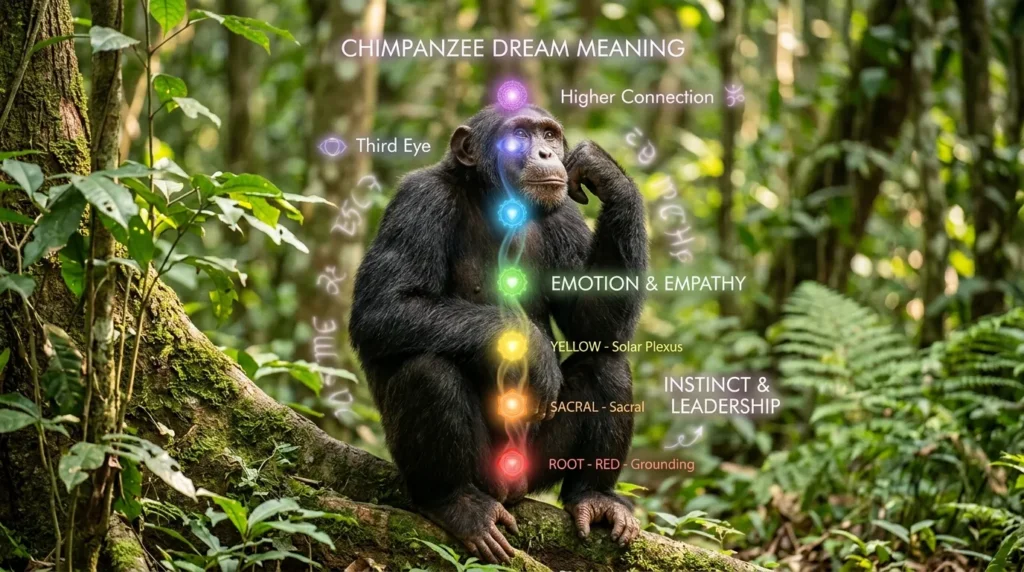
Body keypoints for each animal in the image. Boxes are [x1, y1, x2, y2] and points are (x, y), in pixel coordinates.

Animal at [349, 104, 648, 563]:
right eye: (520, 135)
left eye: (549, 134)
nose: (546, 153)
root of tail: (511, 486)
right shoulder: (419, 201)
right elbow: (384, 306)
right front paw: (534, 352)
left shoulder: (563, 214)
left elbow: (595, 325)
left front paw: (605, 172)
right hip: (484, 471)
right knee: (427, 371)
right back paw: (456, 503)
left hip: (537, 462)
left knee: (607, 366)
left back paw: (594, 496)